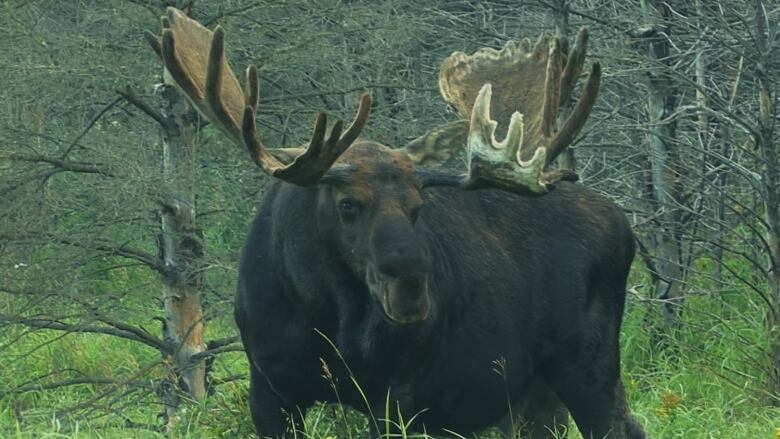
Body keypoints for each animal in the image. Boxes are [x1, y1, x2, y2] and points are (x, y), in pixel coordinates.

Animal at [146, 7, 644, 439]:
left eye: (418, 206)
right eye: (348, 205)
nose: (412, 292)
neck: (323, 313)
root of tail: (622, 223)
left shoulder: (396, 394)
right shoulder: (269, 389)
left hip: (588, 363)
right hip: (536, 390)